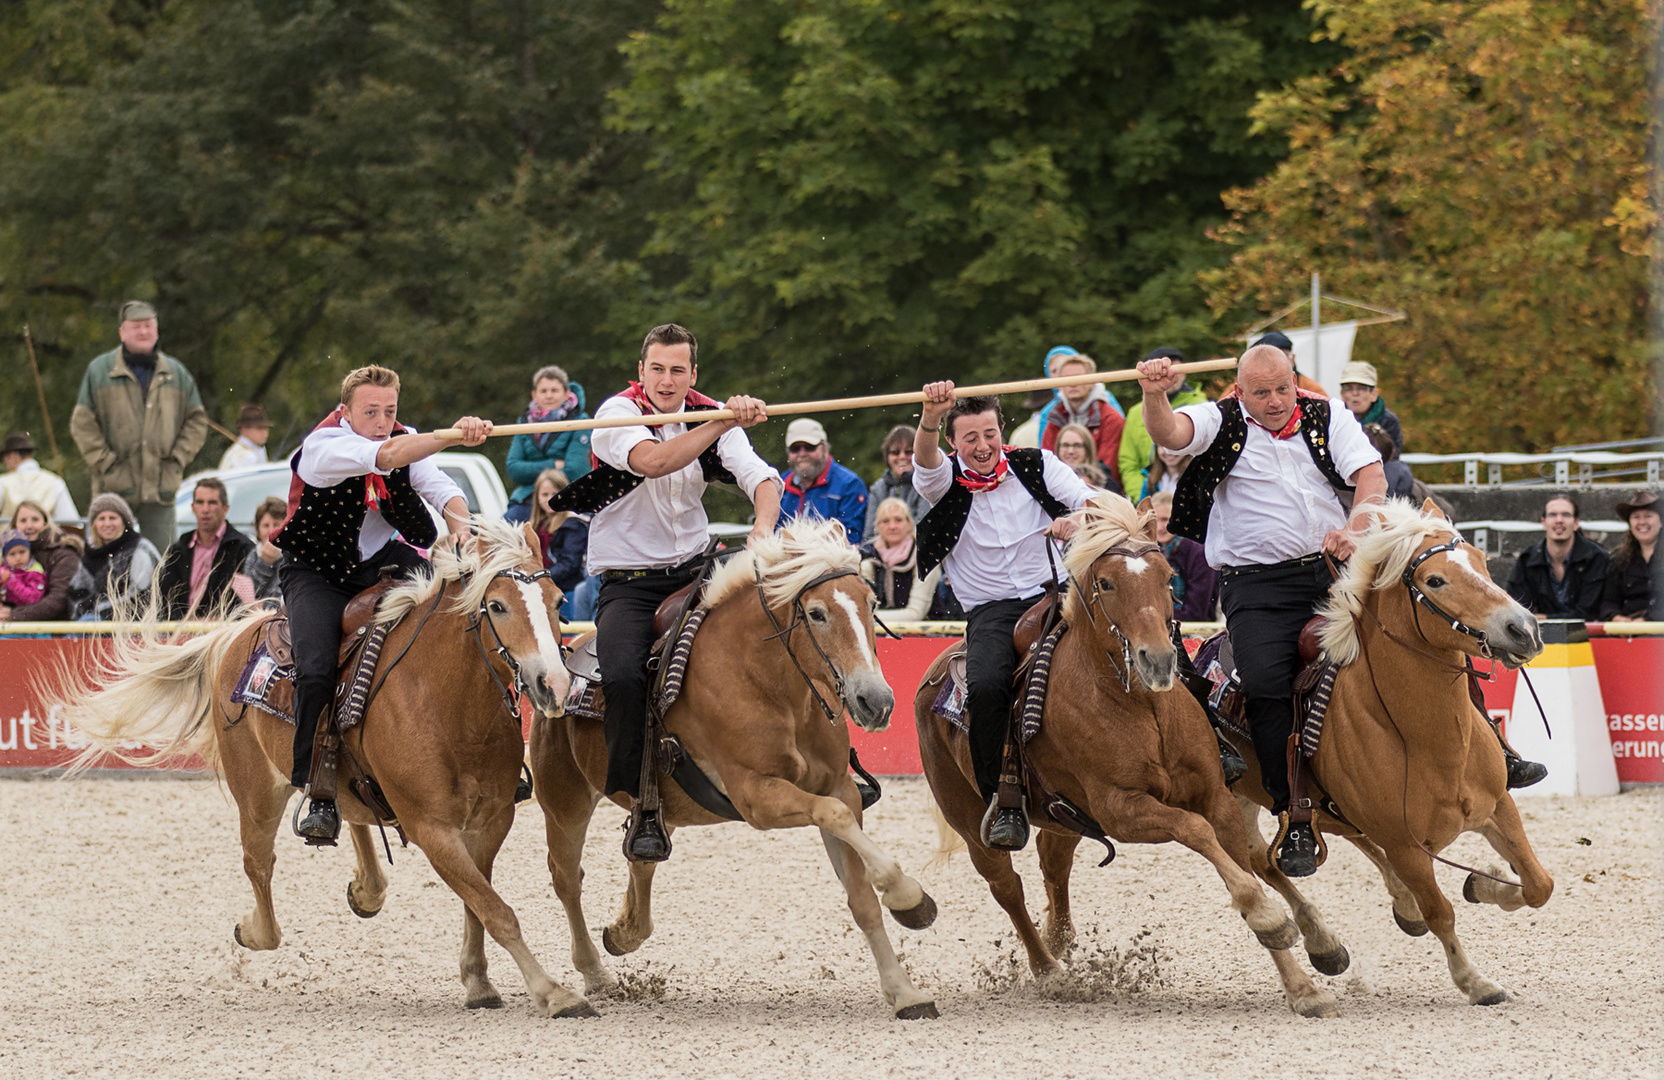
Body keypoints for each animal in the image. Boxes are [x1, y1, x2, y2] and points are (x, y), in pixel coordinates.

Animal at [47, 519, 599, 1018]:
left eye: (557, 602)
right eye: (498, 605)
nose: (552, 684)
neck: (444, 700)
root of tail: (237, 634)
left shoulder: (491, 821)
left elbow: (479, 904)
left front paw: (478, 981)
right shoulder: (432, 829)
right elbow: (496, 910)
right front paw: (554, 993)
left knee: (348, 812)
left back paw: (365, 887)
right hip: (258, 791)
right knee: (259, 865)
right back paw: (256, 929)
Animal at [535, 515, 951, 1018]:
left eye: (871, 604)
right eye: (816, 613)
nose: (877, 700)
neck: (770, 687)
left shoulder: (839, 787)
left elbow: (861, 896)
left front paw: (904, 989)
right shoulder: (757, 798)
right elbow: (836, 819)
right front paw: (908, 895)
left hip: (655, 809)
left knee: (642, 857)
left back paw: (625, 931)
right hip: (564, 801)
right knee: (567, 879)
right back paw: (593, 972)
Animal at [911, 495, 1337, 1018]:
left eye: (1167, 575)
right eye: (1106, 583)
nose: (1158, 659)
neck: (1142, 708)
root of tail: (935, 671)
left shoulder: (1216, 796)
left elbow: (1241, 863)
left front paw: (1302, 984)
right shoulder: (1123, 810)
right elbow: (1197, 833)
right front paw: (1270, 919)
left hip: (1063, 816)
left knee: (1053, 863)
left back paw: (1060, 938)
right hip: (972, 824)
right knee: (1007, 887)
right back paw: (1047, 969)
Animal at [1224, 495, 1557, 1005]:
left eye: (1481, 562)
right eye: (1435, 580)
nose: (1522, 628)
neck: (1428, 740)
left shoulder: (1498, 808)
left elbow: (1539, 884)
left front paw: (1482, 883)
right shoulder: (1406, 845)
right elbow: (1441, 912)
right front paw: (1474, 981)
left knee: (1303, 851)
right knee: (1263, 862)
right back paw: (1322, 944)